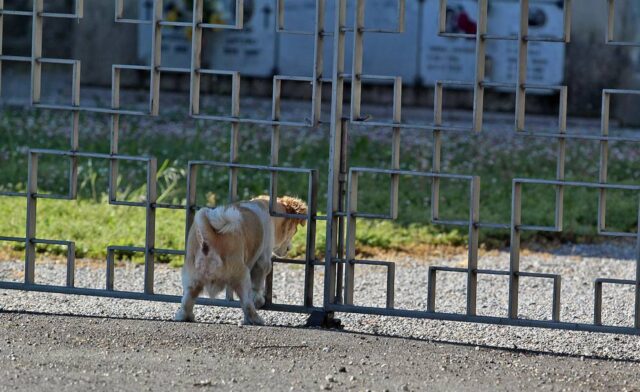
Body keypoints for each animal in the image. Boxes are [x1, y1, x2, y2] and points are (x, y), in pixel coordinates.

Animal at [174, 195, 306, 324]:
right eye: (294, 231)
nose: (289, 249)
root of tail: (211, 237)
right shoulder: (263, 260)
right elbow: (257, 284)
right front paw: (258, 299)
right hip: (242, 276)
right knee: (247, 303)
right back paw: (255, 319)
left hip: (192, 279)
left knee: (187, 300)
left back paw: (185, 316)